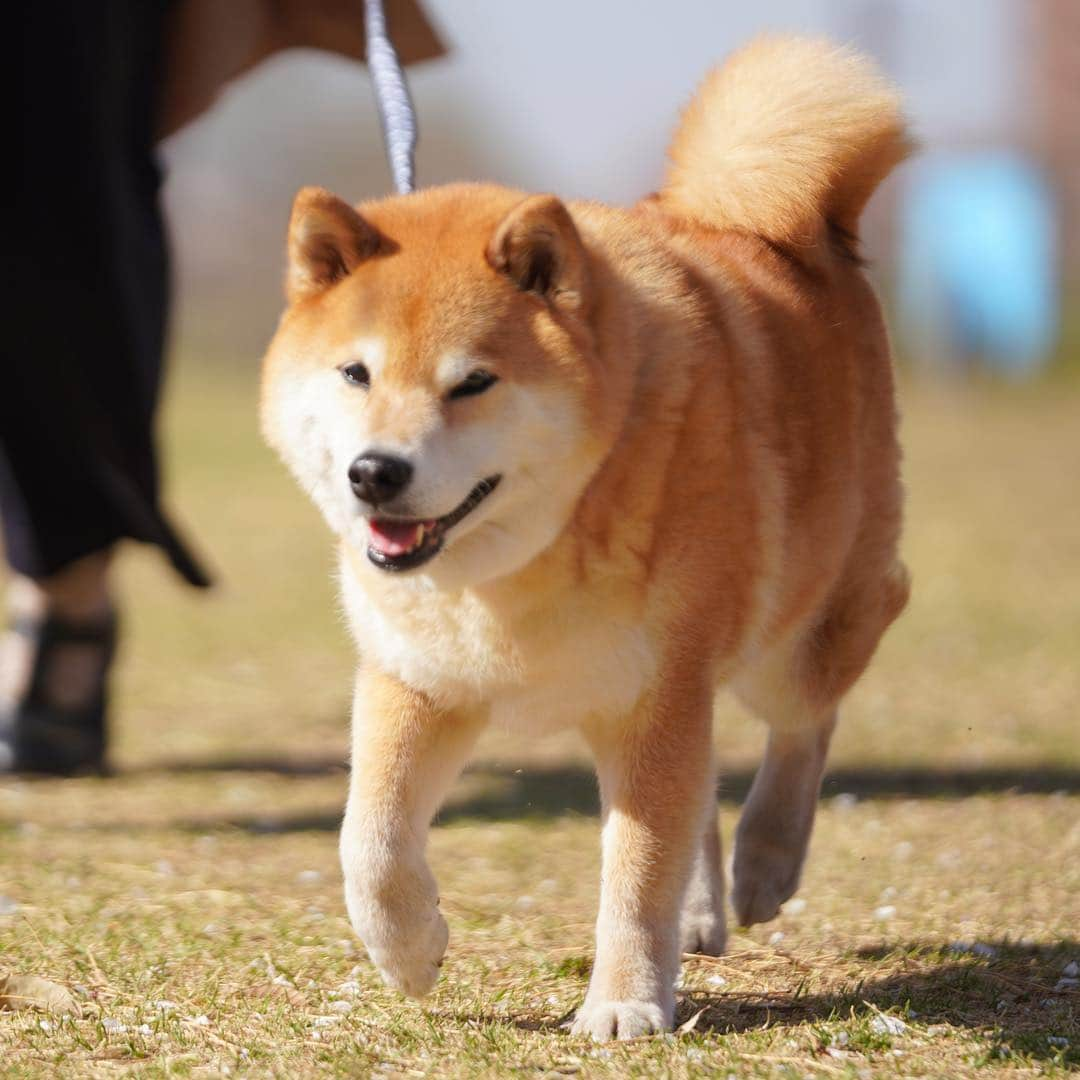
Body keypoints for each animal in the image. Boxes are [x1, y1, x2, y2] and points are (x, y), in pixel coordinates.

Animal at [261, 38, 911, 1036]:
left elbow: (635, 872)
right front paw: (409, 951)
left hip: (792, 633)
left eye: (473, 382)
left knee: (805, 721)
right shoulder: (418, 680)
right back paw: (705, 907)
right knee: (711, 789)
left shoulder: (655, 692)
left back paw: (766, 858)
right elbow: (368, 842)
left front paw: (623, 1006)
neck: (519, 561)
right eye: (355, 373)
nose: (375, 473)